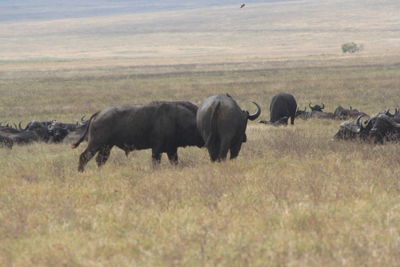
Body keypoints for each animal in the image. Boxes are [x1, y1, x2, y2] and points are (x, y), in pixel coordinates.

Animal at [72, 101, 205, 173]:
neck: (176, 118)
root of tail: (99, 113)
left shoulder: (172, 149)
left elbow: (175, 162)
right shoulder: (157, 149)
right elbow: (155, 163)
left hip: (106, 147)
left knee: (100, 160)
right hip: (95, 144)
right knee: (84, 157)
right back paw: (81, 172)